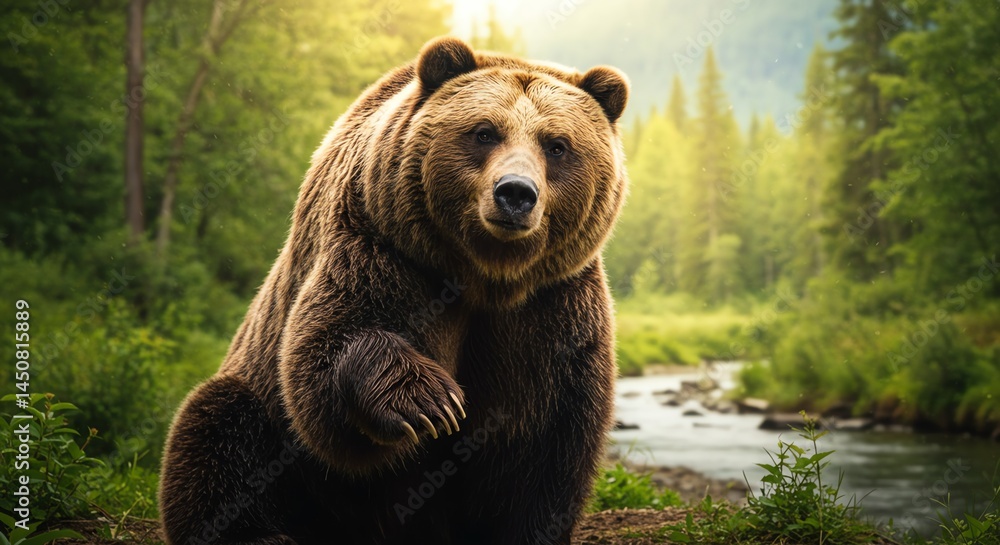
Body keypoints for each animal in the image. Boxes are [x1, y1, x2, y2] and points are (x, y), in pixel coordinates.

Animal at [159, 36, 629, 545]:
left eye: (557, 145)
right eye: (484, 132)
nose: (516, 193)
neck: (485, 276)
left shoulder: (551, 305)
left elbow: (541, 444)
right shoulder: (384, 247)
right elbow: (326, 358)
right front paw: (431, 402)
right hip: (265, 413)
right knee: (217, 433)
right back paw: (261, 533)